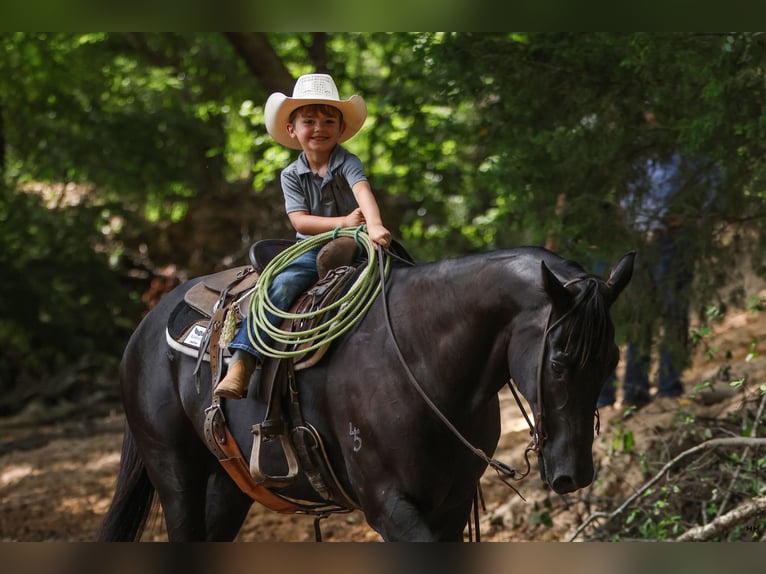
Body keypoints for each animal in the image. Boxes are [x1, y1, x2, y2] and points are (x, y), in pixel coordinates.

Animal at [96, 245, 636, 544]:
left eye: (611, 359)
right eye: (559, 359)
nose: (573, 474)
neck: (423, 360)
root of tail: (146, 326)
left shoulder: (453, 503)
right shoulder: (387, 504)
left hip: (229, 485)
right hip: (174, 472)